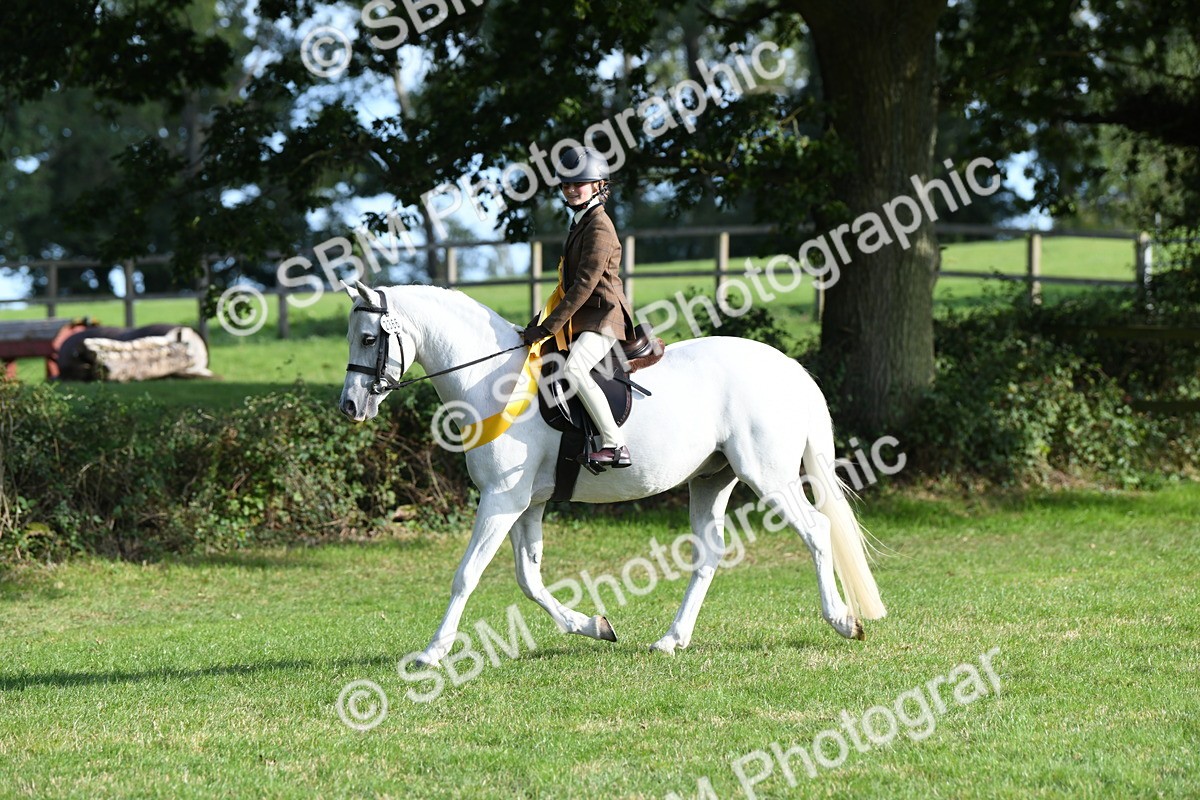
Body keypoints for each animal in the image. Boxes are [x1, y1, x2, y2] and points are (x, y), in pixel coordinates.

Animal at [338, 280, 885, 667]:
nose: (350, 406)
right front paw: (594, 626)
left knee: (817, 531)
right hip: (712, 480)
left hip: (768, 477)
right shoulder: (526, 504)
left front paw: (432, 652)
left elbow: (466, 575)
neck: (493, 380)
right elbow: (529, 579)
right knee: (709, 555)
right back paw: (671, 640)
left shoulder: (501, 498)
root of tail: (789, 368)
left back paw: (842, 621)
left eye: (368, 337)